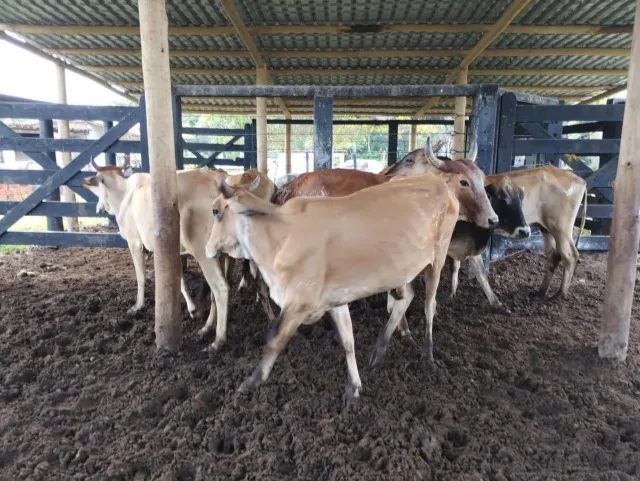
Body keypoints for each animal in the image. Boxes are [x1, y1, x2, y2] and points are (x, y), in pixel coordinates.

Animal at [83, 163, 275, 351]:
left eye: (98, 182)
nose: (99, 208)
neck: (123, 194)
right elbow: (179, 279)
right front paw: (193, 309)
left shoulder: (134, 241)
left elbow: (141, 276)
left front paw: (137, 306)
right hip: (222, 254)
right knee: (228, 286)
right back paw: (210, 327)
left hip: (205, 253)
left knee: (221, 288)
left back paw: (218, 340)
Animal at [204, 152, 498, 401]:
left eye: (216, 210)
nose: (208, 249)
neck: (279, 237)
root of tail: (437, 184)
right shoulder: (336, 299)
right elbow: (348, 341)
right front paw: (354, 387)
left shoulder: (299, 303)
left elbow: (274, 339)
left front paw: (250, 381)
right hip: (401, 270)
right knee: (405, 298)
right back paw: (379, 351)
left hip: (437, 258)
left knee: (429, 304)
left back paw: (427, 352)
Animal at [386, 152, 587, 298]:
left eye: (409, 160)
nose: (388, 173)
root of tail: (580, 180)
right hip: (546, 229)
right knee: (553, 256)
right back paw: (541, 291)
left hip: (561, 229)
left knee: (570, 256)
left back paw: (560, 294)